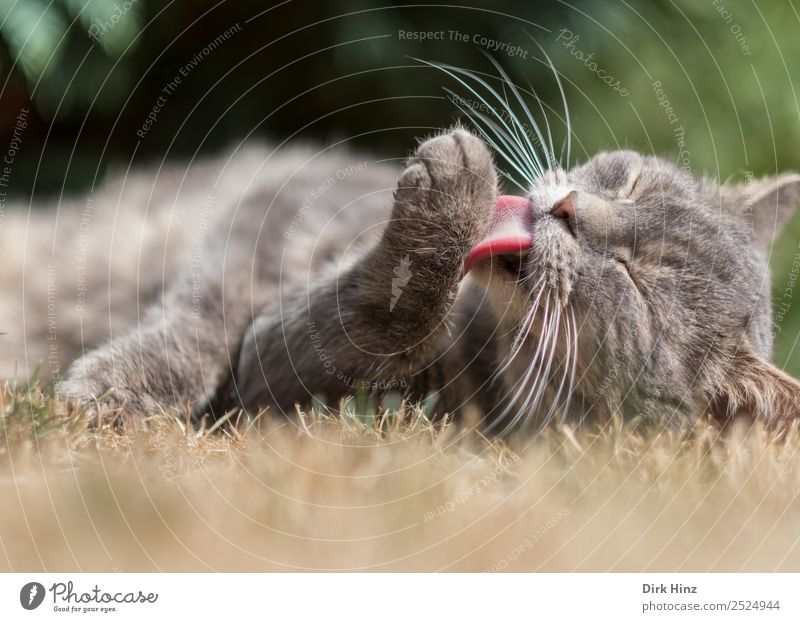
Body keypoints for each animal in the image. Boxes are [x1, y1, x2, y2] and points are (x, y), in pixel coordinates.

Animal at [4, 123, 800, 434]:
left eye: (634, 284)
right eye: (630, 180)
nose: (568, 208)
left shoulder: (287, 387)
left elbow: (375, 320)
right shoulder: (278, 208)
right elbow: (203, 312)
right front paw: (119, 385)